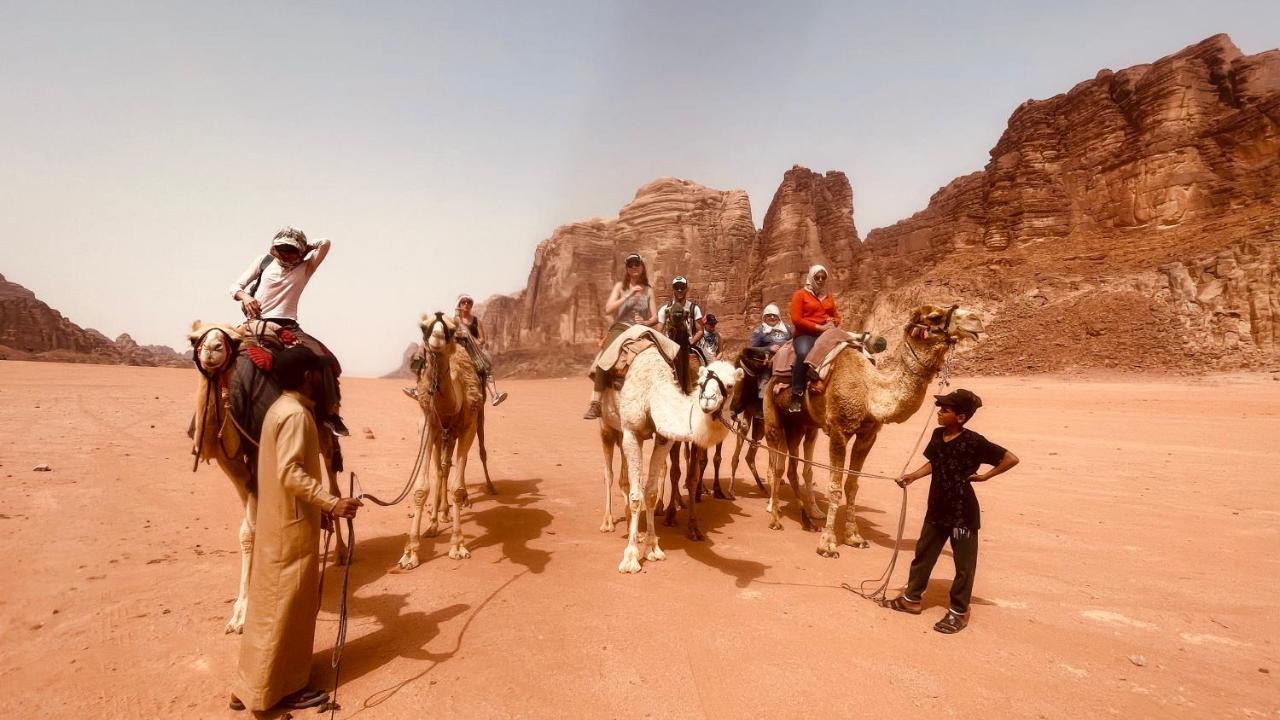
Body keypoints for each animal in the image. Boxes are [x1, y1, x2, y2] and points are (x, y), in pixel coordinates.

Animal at [185, 322, 345, 630]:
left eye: (232, 340)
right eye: (193, 339)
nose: (212, 349)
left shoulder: (261, 448)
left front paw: (244, 612)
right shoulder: (232, 463)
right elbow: (248, 531)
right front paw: (240, 610)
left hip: (324, 428)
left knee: (333, 482)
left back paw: (343, 551)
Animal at [396, 311, 481, 568]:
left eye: (451, 330)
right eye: (423, 326)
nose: (437, 337)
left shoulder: (468, 427)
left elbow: (458, 488)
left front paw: (458, 545)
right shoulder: (427, 426)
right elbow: (420, 488)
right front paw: (410, 552)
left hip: (453, 435)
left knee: (446, 467)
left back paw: (444, 514)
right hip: (438, 437)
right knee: (439, 469)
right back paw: (434, 522)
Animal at [606, 345, 742, 571]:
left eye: (730, 385)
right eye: (701, 381)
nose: (707, 400)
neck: (653, 390)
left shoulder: (664, 438)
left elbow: (651, 492)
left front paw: (653, 548)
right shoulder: (631, 432)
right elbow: (636, 496)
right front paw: (630, 558)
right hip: (608, 426)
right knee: (610, 472)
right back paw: (608, 523)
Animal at [762, 302, 983, 556]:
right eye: (935, 317)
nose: (976, 320)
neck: (870, 391)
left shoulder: (867, 436)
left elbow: (852, 485)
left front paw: (854, 537)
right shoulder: (839, 431)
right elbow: (835, 487)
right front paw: (827, 543)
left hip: (803, 425)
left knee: (794, 464)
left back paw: (808, 518)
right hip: (772, 414)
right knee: (776, 465)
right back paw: (774, 517)